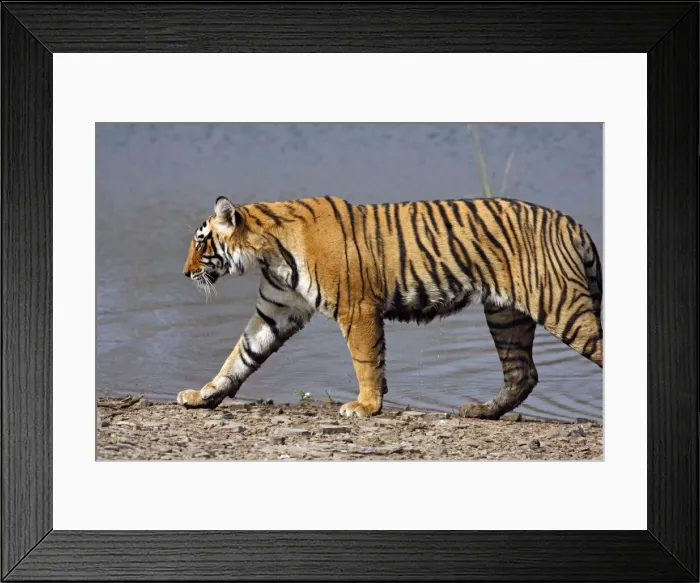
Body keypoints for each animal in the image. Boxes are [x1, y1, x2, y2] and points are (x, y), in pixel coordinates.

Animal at [178, 195, 602, 419]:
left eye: (200, 243)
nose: (184, 273)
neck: (268, 254)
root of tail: (573, 223)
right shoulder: (275, 310)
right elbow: (239, 356)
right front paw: (203, 395)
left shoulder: (357, 308)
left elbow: (366, 361)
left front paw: (365, 406)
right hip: (505, 315)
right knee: (522, 374)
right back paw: (481, 411)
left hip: (561, 306)